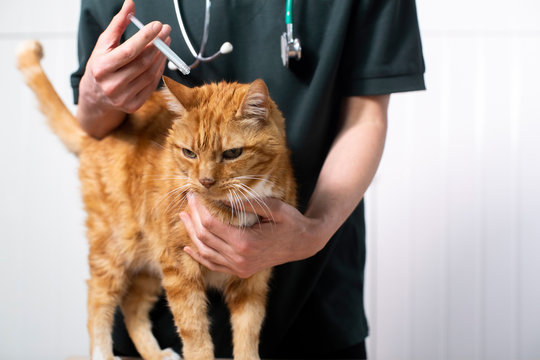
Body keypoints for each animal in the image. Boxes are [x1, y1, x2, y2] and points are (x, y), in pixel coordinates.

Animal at [16, 40, 296, 360]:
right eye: (189, 153)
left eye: (232, 154)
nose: (205, 181)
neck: (236, 204)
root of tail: (96, 136)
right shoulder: (180, 269)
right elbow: (195, 333)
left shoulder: (254, 274)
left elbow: (248, 332)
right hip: (114, 247)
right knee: (98, 302)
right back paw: (103, 352)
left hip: (151, 257)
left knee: (133, 307)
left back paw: (156, 353)